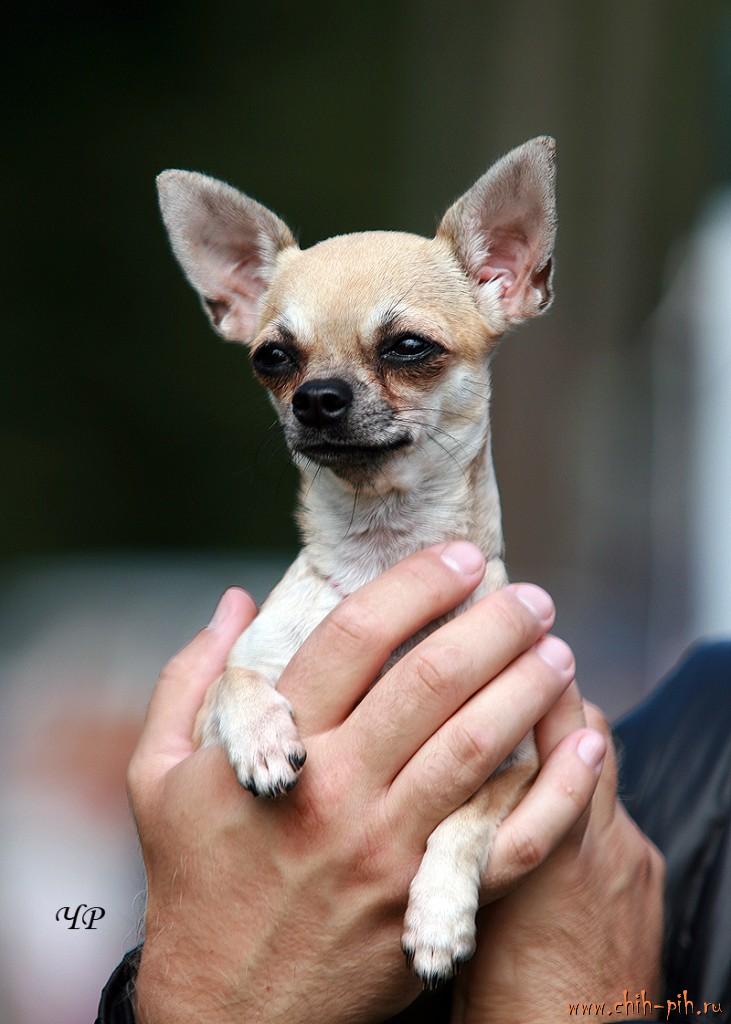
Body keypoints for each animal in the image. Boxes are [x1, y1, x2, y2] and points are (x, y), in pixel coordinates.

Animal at [156, 136, 557, 986]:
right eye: (272, 358)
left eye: (408, 347)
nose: (317, 397)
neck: (381, 550)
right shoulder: (215, 705)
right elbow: (234, 681)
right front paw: (264, 738)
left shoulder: (516, 763)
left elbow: (462, 824)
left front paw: (438, 918)